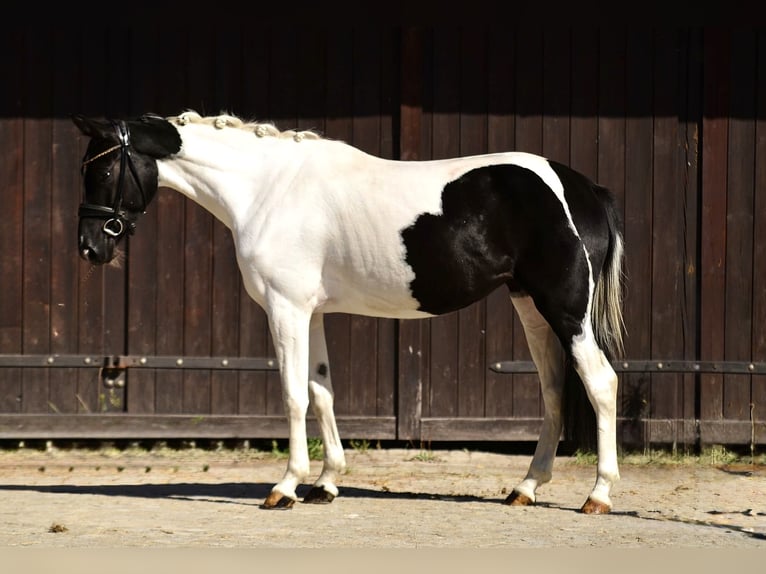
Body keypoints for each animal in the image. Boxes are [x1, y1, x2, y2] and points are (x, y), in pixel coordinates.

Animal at [72, 110, 625, 514]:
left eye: (102, 170)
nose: (90, 248)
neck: (266, 189)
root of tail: (585, 189)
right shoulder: (310, 313)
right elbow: (322, 393)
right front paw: (326, 483)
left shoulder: (285, 309)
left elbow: (294, 396)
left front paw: (286, 487)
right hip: (530, 306)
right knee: (553, 390)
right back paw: (526, 487)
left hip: (566, 310)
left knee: (600, 383)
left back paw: (597, 495)